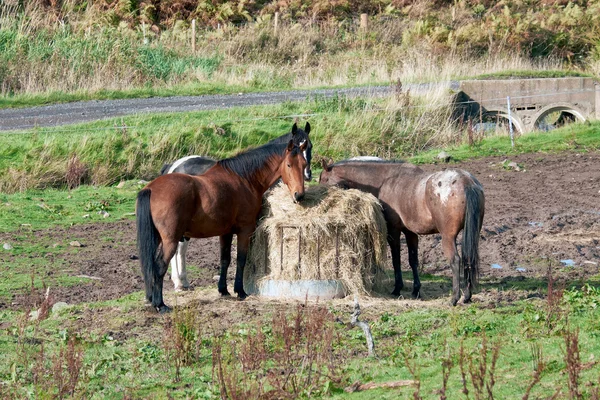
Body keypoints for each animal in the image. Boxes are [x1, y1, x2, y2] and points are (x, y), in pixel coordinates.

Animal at [135, 140, 304, 312]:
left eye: (304, 164)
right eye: (289, 165)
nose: (299, 195)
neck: (244, 179)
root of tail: (151, 188)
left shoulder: (226, 232)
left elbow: (225, 259)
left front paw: (223, 290)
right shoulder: (244, 230)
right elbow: (241, 259)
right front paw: (240, 291)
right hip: (171, 240)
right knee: (160, 266)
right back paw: (160, 304)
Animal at [157, 121, 312, 290]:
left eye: (309, 146)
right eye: (289, 162)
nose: (307, 176)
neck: (252, 177)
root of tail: (173, 165)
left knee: (181, 250)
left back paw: (183, 280)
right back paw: (178, 282)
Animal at [318, 158, 482, 304]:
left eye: (324, 179)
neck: (385, 181)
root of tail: (466, 181)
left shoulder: (393, 232)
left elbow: (396, 259)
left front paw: (397, 288)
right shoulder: (410, 233)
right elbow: (413, 260)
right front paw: (416, 290)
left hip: (448, 237)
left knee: (455, 261)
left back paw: (454, 298)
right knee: (468, 258)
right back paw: (467, 296)